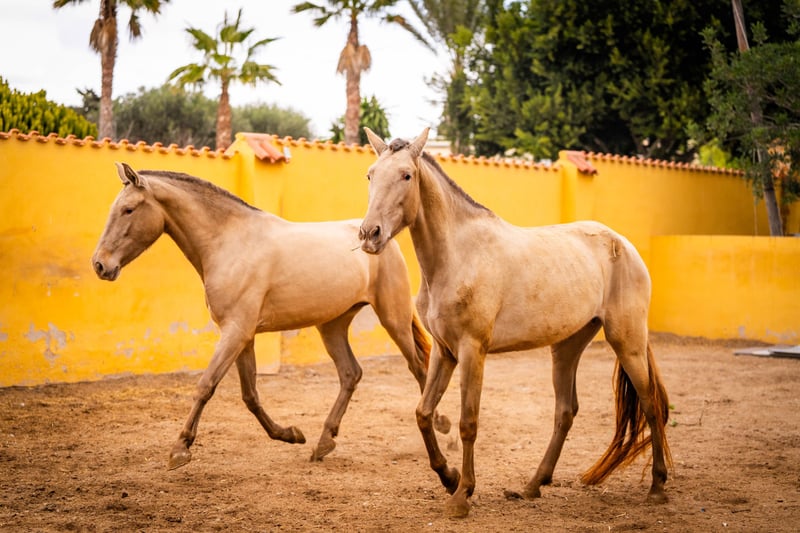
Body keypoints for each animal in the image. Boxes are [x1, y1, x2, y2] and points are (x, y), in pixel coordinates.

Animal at [92, 162, 450, 469]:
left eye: (128, 209)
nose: (100, 265)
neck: (230, 243)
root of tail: (379, 236)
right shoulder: (243, 335)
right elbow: (250, 395)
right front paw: (290, 434)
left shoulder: (235, 332)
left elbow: (206, 385)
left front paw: (180, 450)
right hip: (332, 325)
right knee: (351, 374)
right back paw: (323, 442)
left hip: (393, 317)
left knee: (418, 367)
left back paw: (440, 427)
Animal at [357, 128, 672, 518]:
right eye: (371, 175)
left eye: (406, 175)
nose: (369, 234)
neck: (457, 256)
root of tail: (623, 246)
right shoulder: (445, 352)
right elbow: (423, 413)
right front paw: (448, 477)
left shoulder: (472, 351)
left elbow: (468, 422)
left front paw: (462, 495)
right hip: (566, 348)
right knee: (565, 412)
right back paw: (532, 486)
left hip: (627, 341)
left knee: (650, 404)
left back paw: (657, 487)